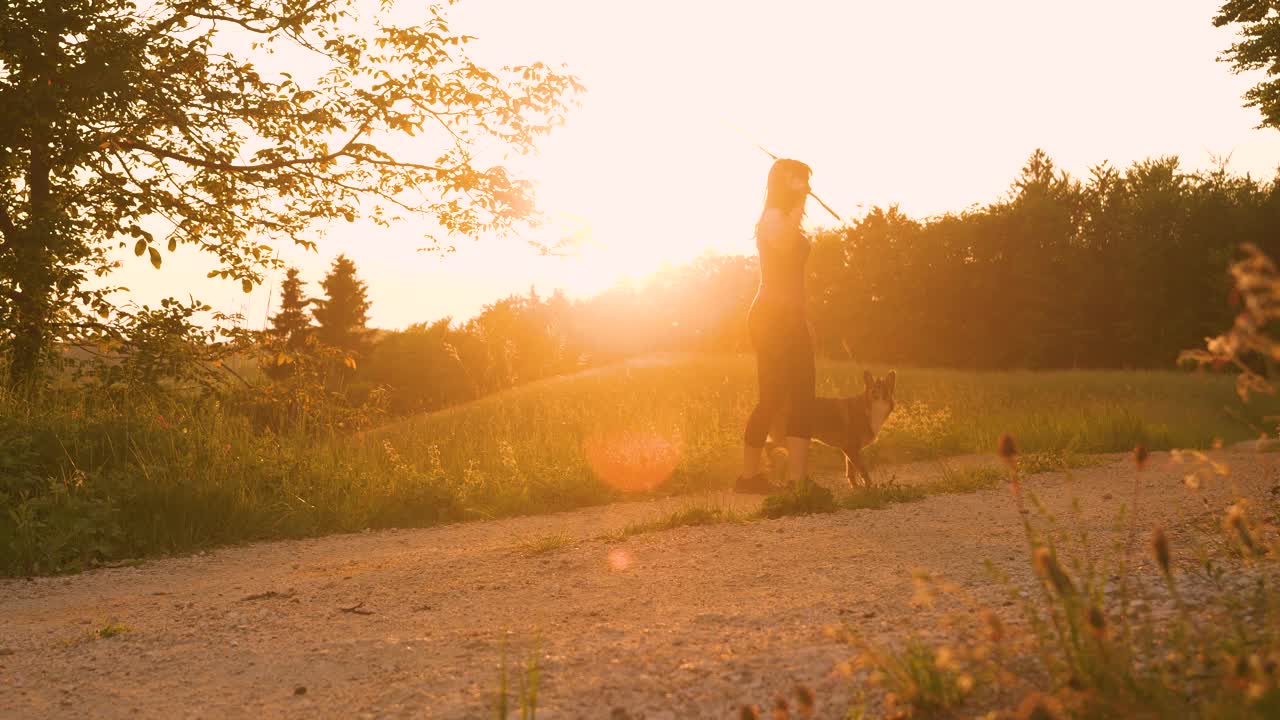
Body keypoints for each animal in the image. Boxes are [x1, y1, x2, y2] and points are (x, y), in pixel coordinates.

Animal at [768, 371, 901, 484]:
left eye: (884, 389)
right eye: (873, 389)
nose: (876, 394)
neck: (870, 409)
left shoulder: (850, 450)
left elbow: (851, 472)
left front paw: (856, 489)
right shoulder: (851, 449)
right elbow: (863, 471)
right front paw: (870, 488)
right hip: (786, 438)